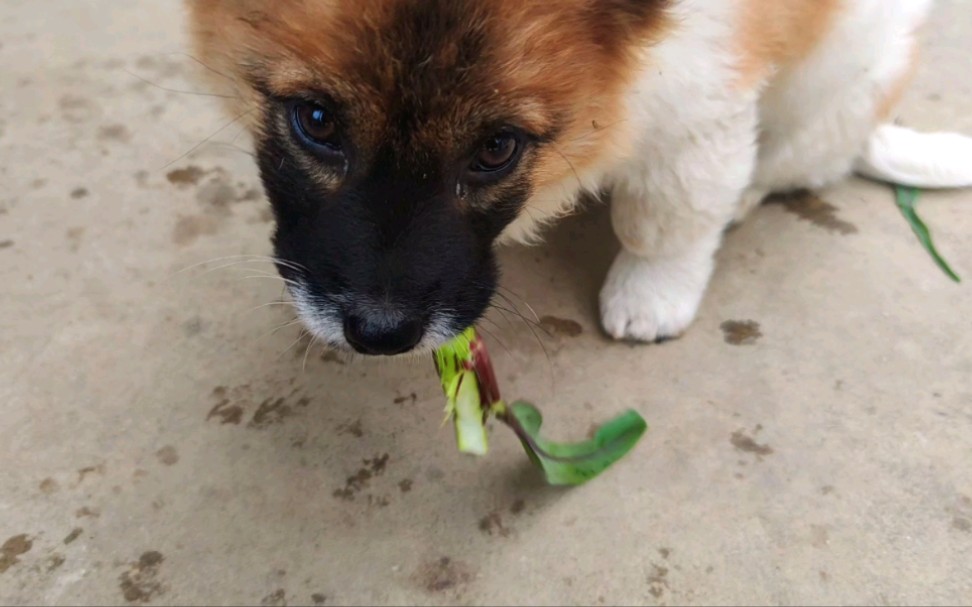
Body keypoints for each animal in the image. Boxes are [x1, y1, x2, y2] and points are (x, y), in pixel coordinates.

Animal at [186, 0, 968, 356]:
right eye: (315, 120)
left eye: (497, 149)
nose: (380, 335)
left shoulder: (705, 96)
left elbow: (664, 215)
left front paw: (652, 293)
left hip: (839, 73)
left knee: (798, 157)